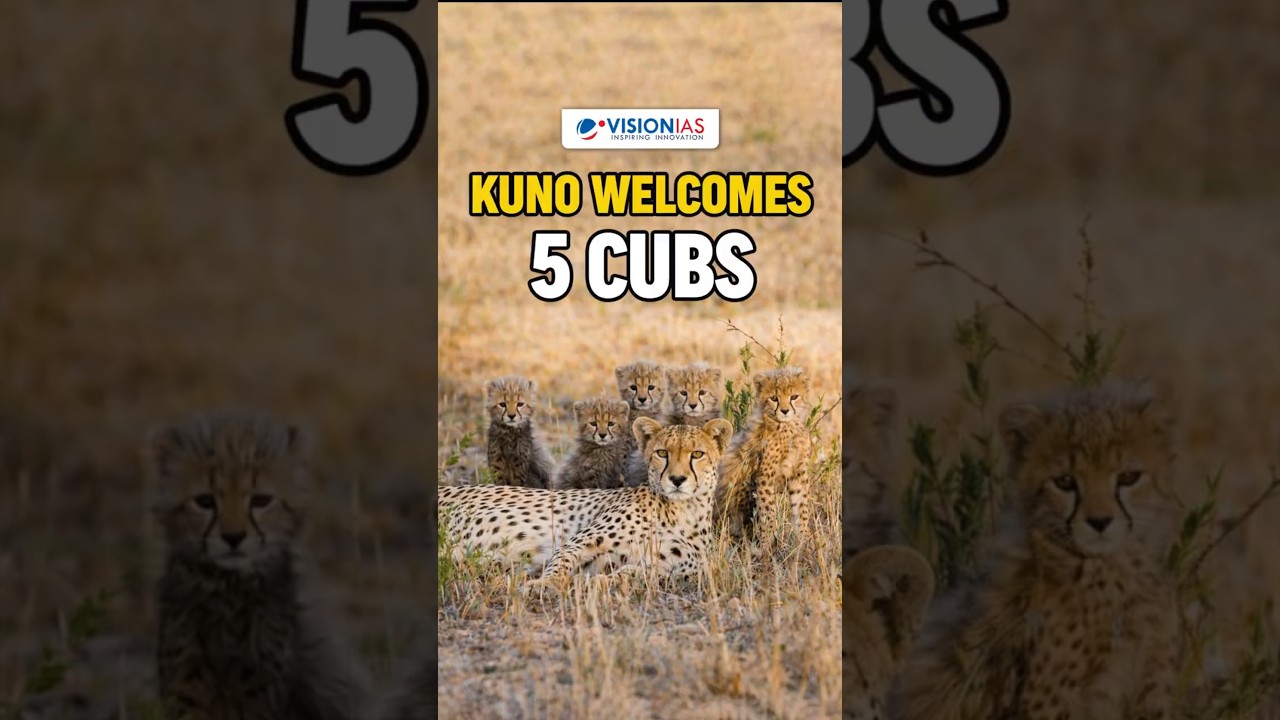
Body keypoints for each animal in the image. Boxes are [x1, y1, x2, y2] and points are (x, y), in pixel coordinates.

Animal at [150, 411, 368, 720]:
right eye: (204, 501)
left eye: (261, 500)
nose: (233, 537)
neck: (227, 590)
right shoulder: (186, 680)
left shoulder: (263, 691)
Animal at [437, 416, 734, 589]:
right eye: (662, 453)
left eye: (697, 454)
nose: (677, 479)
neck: (681, 511)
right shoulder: (580, 542)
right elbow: (561, 563)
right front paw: (543, 585)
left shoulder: (670, 569)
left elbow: (632, 575)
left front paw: (589, 583)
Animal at [714, 366, 814, 542]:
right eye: (774, 398)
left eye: (794, 397)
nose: (785, 411)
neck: (787, 427)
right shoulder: (765, 475)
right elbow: (768, 509)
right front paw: (768, 540)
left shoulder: (799, 472)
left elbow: (801, 505)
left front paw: (803, 537)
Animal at [891, 379, 1182, 720]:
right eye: (1065, 481)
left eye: (1128, 477)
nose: (1099, 522)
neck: (1109, 568)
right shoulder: (1047, 700)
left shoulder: (1150, 686)